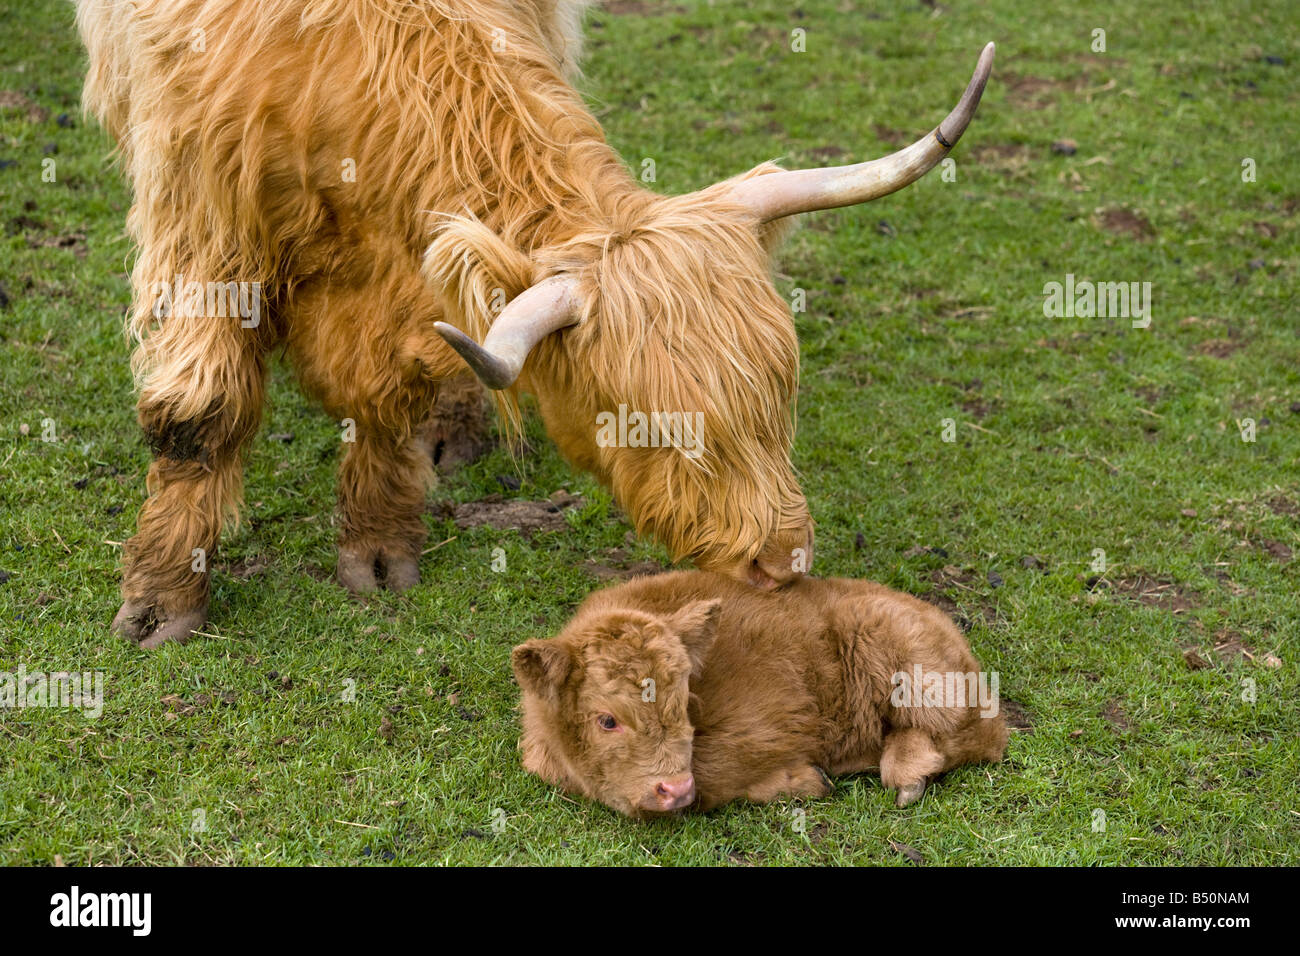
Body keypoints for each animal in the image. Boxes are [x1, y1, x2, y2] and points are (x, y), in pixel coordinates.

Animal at [78, 0, 993, 647]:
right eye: (653, 426)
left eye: (780, 395)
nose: (782, 562)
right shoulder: (202, 223)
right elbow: (200, 415)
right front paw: (161, 604)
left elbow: (394, 392)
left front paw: (376, 551)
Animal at [506, 572, 1003, 816]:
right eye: (607, 719)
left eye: (684, 704)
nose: (674, 789)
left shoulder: (775, 722)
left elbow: (713, 767)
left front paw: (801, 780)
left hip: (902, 654)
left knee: (976, 733)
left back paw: (906, 775)